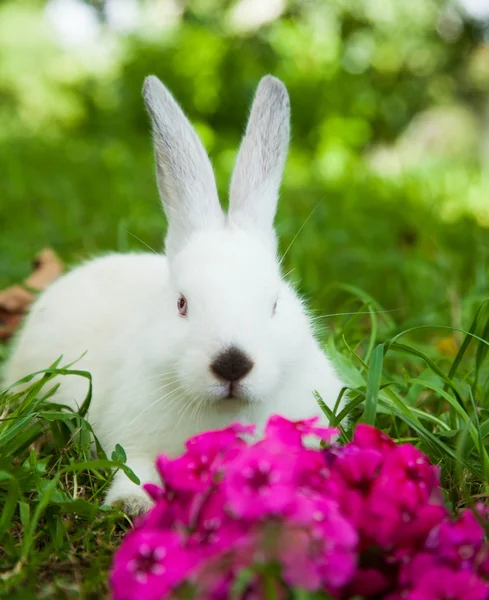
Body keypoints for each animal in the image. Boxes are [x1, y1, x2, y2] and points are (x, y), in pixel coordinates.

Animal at [2, 75, 344, 512]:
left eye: (274, 304)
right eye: (181, 304)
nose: (232, 365)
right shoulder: (131, 440)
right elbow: (134, 470)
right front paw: (133, 504)